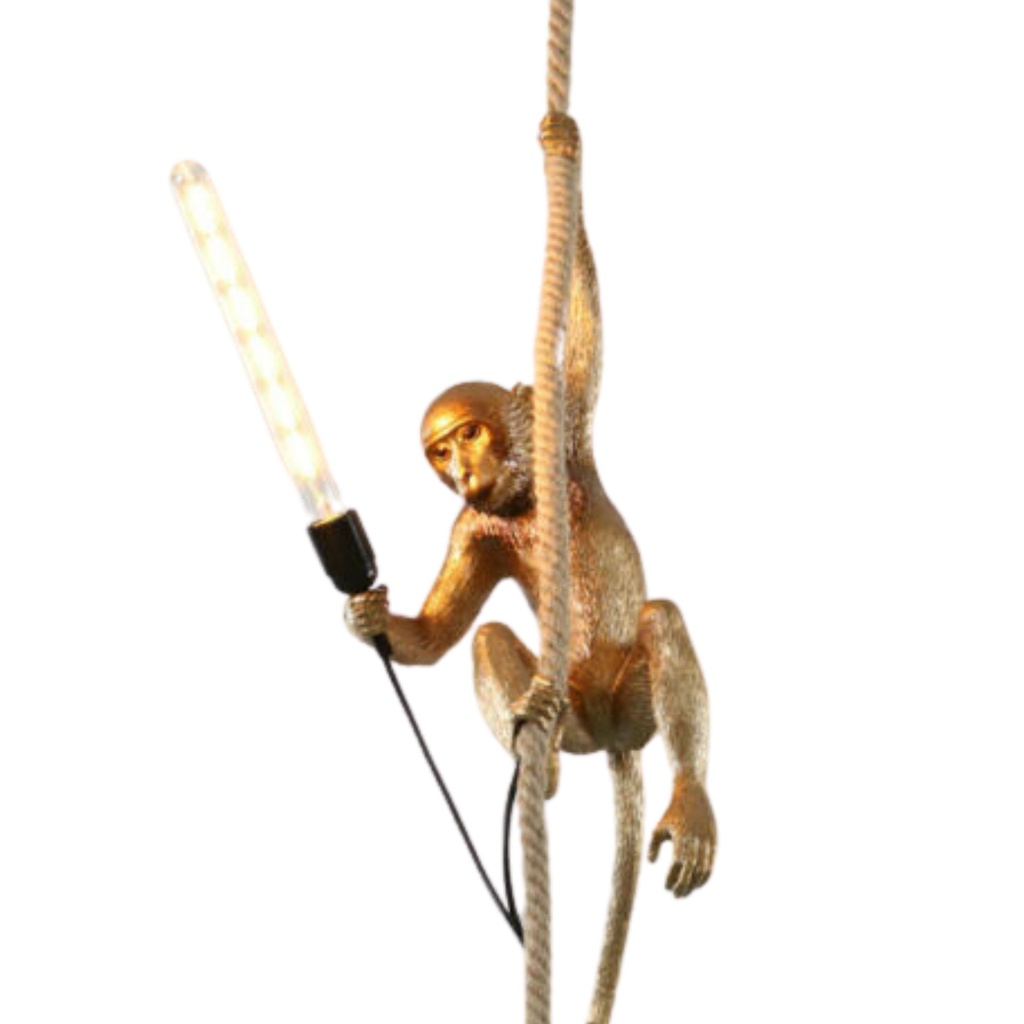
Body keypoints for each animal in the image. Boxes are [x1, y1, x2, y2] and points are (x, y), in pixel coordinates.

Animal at [346, 208, 715, 1023]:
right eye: (439, 451)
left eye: (470, 433)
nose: (460, 469)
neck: (519, 500)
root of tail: (613, 740)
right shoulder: (470, 528)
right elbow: (444, 634)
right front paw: (370, 617)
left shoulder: (564, 420)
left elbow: (582, 322)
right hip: (582, 715)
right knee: (488, 637)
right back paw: (535, 758)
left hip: (633, 704)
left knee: (661, 619)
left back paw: (688, 806)